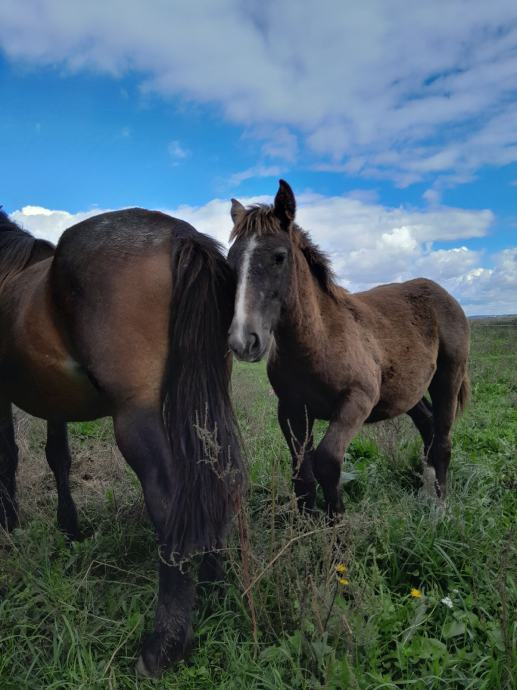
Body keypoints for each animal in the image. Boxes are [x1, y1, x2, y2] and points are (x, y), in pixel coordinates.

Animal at [0, 207, 244, 676]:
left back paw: (164, 644)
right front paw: (69, 529)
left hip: (137, 416)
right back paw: (214, 588)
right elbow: (58, 457)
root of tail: (181, 236)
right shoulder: (54, 400)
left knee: (171, 499)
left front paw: (8, 526)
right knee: (212, 480)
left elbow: (8, 457)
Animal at [226, 183, 468, 516]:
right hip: (407, 390)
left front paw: (336, 522)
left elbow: (326, 461)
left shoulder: (356, 402)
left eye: (279, 257)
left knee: (443, 438)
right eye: (231, 260)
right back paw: (426, 491)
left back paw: (440, 507)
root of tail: (442, 293)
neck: (319, 341)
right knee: (427, 425)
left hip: (448, 377)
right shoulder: (291, 410)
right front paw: (307, 524)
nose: (243, 341)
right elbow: (301, 473)